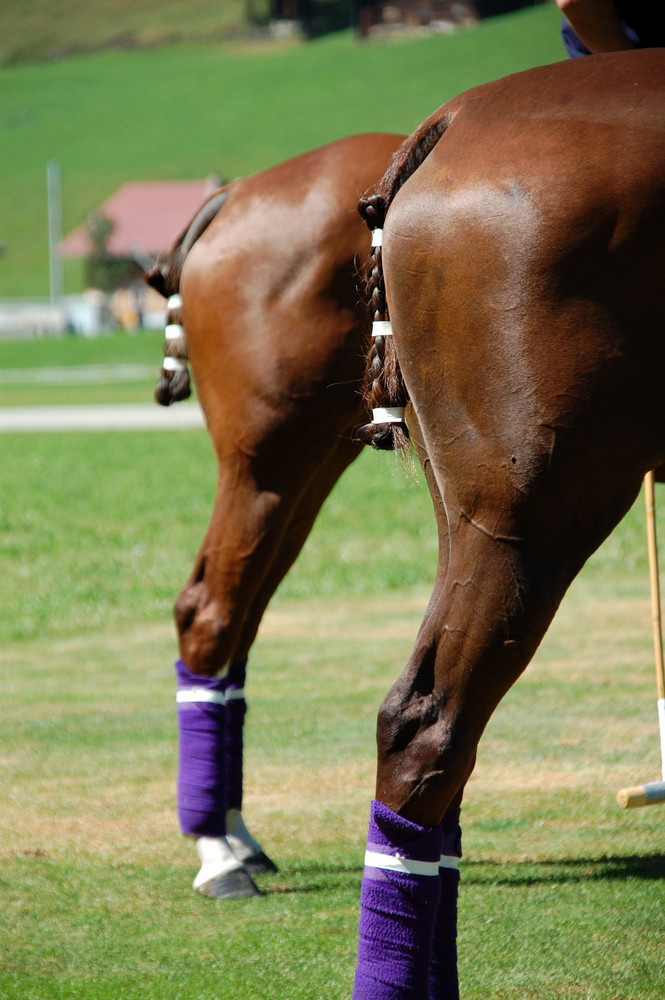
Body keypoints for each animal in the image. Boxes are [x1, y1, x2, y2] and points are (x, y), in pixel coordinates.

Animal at [147, 131, 404, 900]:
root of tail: (235, 196)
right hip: (269, 465)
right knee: (211, 611)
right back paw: (218, 852)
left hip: (309, 467)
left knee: (236, 620)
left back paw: (234, 834)